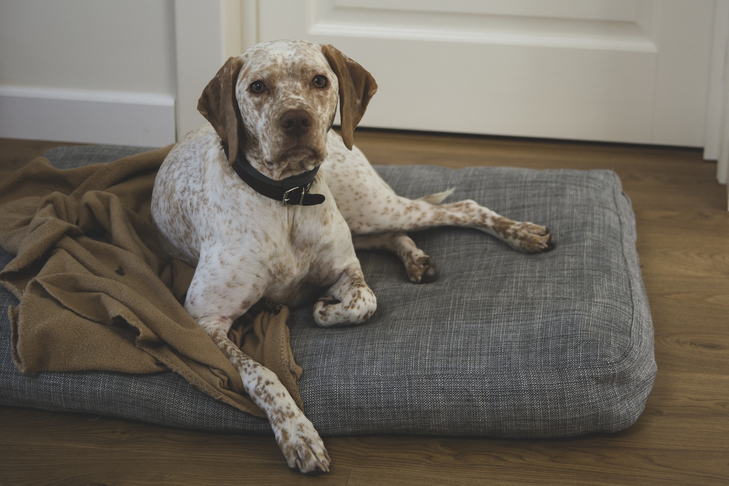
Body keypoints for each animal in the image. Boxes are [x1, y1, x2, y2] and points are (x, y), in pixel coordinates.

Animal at [152, 39, 552, 472]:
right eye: (257, 86)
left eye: (319, 80)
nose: (297, 120)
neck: (287, 200)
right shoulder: (205, 320)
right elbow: (261, 374)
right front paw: (297, 433)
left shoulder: (346, 269)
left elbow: (365, 300)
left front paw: (324, 308)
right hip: (366, 218)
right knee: (399, 233)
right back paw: (418, 259)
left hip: (374, 208)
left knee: (462, 207)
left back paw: (521, 234)